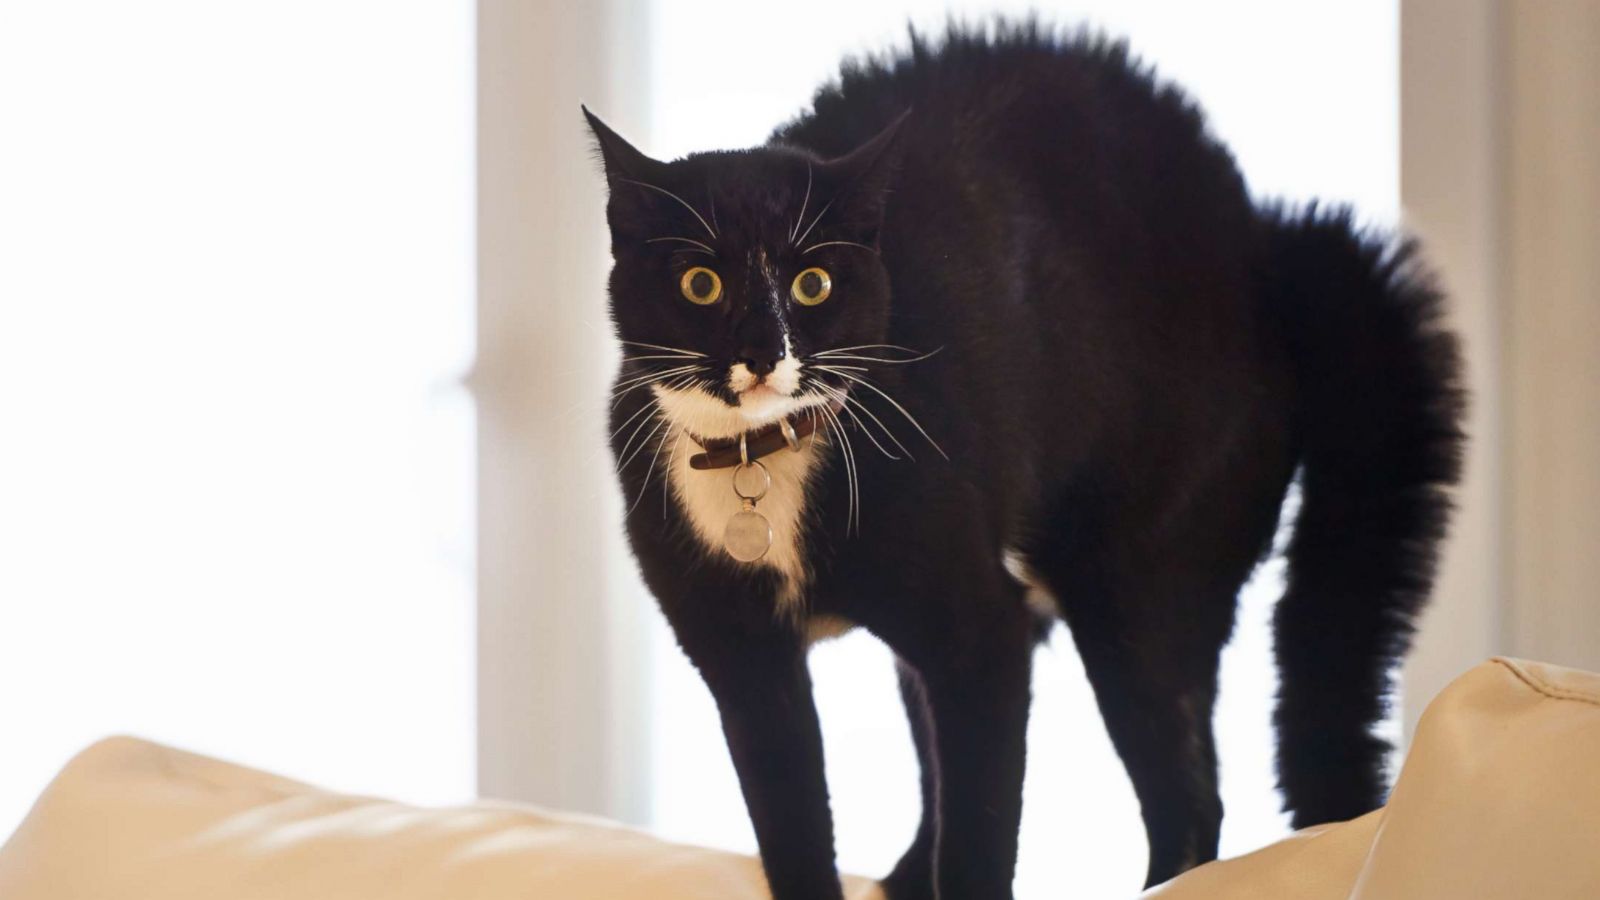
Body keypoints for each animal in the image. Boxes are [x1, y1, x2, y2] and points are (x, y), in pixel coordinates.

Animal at [585, 22, 1465, 896]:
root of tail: (1263, 242)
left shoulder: (980, 635)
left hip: (1138, 577)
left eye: (814, 283)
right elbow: (794, 830)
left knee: (1188, 795)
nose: (765, 352)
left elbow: (980, 830)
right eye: (700, 283)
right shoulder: (741, 658)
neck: (760, 462)